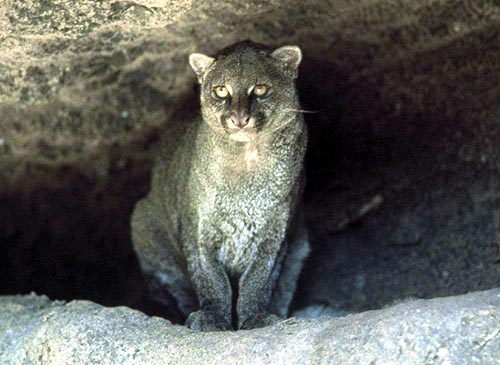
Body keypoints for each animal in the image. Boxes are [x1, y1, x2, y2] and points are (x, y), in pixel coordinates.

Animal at [131, 41, 308, 332]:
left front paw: (254, 317)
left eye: (261, 88)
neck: (247, 161)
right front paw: (212, 316)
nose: (239, 118)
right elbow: (211, 279)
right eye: (221, 90)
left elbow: (259, 280)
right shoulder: (199, 229)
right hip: (144, 223)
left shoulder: (277, 232)